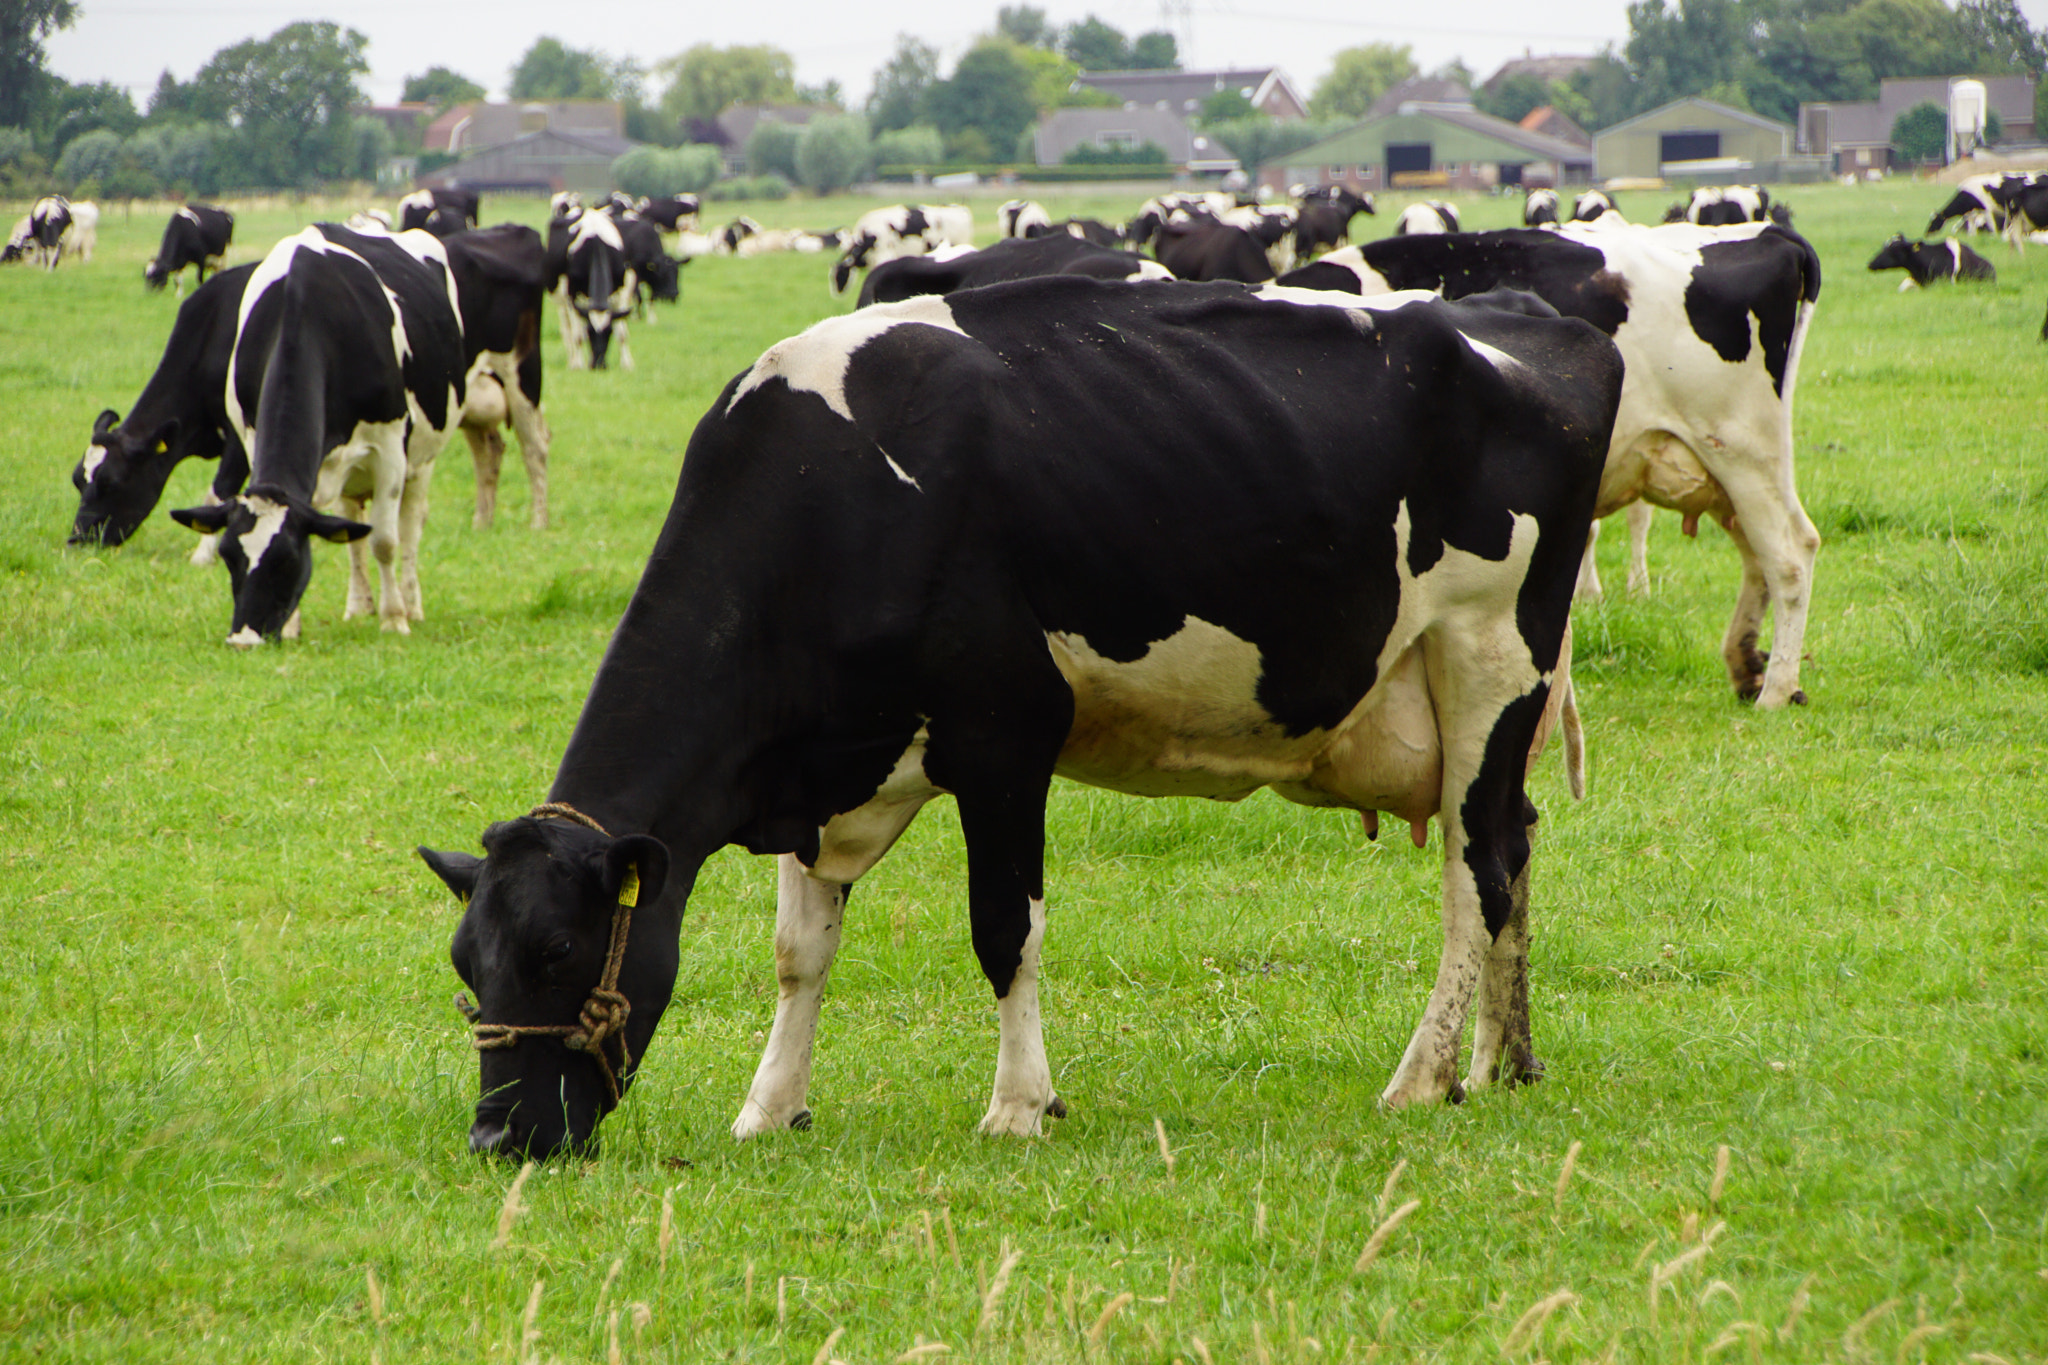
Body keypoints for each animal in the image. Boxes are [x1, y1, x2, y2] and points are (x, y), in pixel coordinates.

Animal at [167, 223, 467, 645]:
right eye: (228, 557)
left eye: (287, 561)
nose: (244, 639)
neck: (305, 311)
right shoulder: (254, 438)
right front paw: (293, 626)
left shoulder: (390, 449)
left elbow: (385, 541)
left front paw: (394, 619)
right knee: (352, 528)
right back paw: (358, 605)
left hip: (423, 457)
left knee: (409, 526)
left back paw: (411, 604)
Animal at [416, 274, 1623, 1159]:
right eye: (467, 966)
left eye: (560, 948)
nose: (496, 1137)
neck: (833, 494)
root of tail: (1519, 314)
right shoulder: (818, 766)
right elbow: (798, 951)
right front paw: (771, 1106)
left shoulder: (1004, 737)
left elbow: (1005, 927)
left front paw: (1017, 1105)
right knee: (1512, 844)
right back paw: (1498, 1061)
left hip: (1486, 657)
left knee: (1475, 871)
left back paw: (1419, 1078)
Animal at [1275, 221, 1823, 709]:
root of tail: (1769, 233)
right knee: (1757, 555)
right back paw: (1749, 667)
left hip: (1741, 448)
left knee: (1790, 553)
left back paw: (1775, 692)